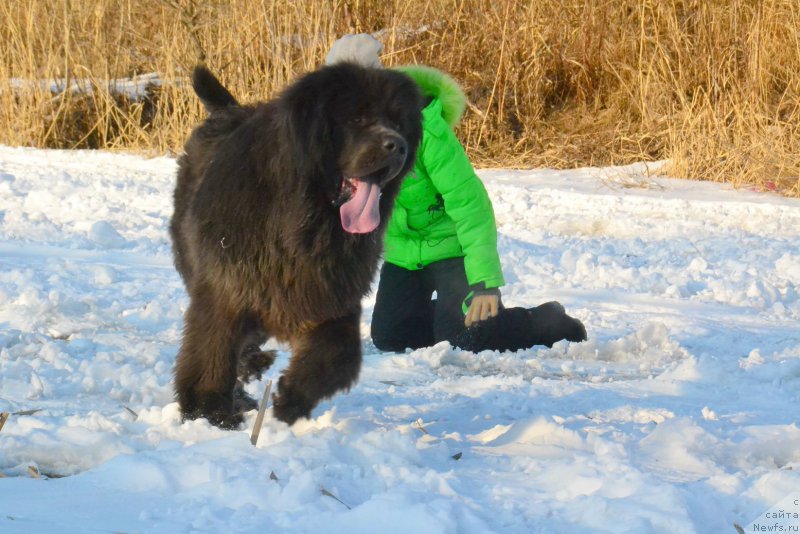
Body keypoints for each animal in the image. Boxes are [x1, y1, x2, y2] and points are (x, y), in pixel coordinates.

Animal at [170, 63, 424, 432]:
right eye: (357, 118)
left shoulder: (330, 292)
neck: (303, 223)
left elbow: (340, 353)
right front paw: (208, 411)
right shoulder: (225, 289)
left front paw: (291, 398)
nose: (398, 146)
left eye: (400, 123)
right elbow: (211, 353)